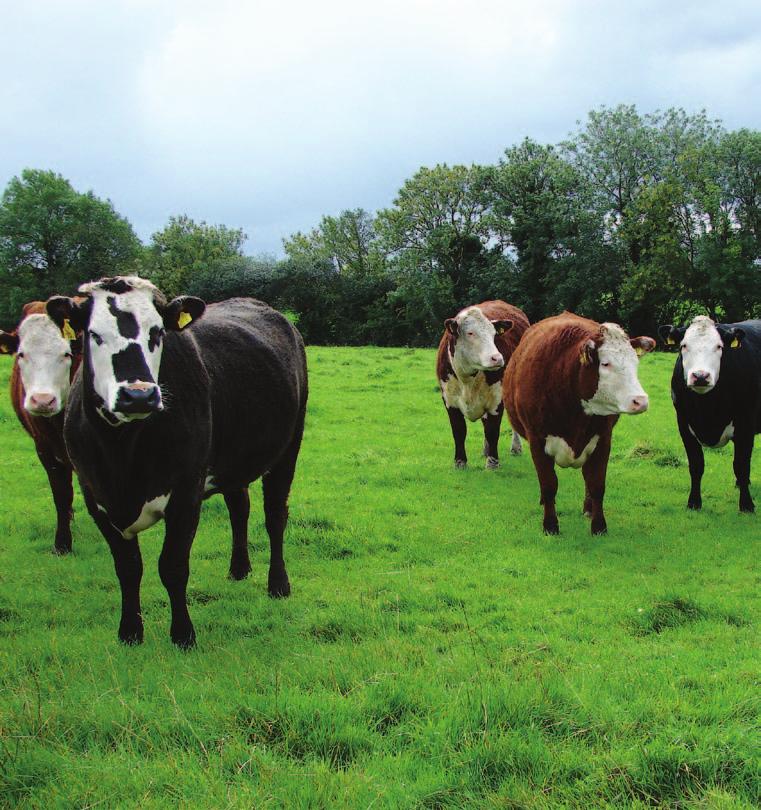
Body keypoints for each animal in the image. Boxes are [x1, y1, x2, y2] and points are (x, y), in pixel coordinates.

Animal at [0, 300, 81, 552]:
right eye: (21, 354)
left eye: (66, 354)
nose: (43, 400)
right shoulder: (44, 448)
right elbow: (61, 494)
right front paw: (62, 544)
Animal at [47, 274, 308, 648]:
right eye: (93, 334)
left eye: (158, 333)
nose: (138, 395)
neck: (122, 453)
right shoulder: (95, 495)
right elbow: (127, 567)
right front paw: (130, 631)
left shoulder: (186, 493)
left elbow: (172, 566)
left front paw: (183, 634)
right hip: (233, 459)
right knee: (239, 507)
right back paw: (239, 569)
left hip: (288, 447)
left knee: (275, 516)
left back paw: (278, 584)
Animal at [436, 300, 532, 468]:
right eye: (470, 333)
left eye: (494, 334)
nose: (497, 358)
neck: (467, 378)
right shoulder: (449, 400)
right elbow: (459, 431)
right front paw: (460, 462)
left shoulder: (497, 399)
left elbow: (492, 431)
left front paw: (492, 464)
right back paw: (486, 450)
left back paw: (515, 447)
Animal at [504, 312, 652, 532]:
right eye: (605, 364)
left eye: (635, 362)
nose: (640, 401)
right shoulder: (537, 440)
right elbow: (549, 484)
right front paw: (550, 525)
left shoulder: (603, 440)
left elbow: (596, 484)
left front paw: (599, 526)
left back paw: (588, 508)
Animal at [656, 316, 760, 512]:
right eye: (683, 345)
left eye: (719, 346)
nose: (700, 376)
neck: (707, 410)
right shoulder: (684, 424)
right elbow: (696, 465)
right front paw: (694, 502)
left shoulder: (746, 425)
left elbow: (741, 465)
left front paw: (746, 505)